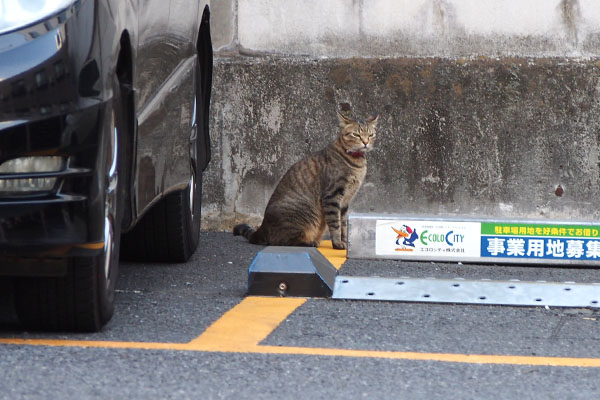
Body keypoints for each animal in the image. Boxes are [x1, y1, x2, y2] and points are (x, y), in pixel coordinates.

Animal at [232, 111, 378, 248]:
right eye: (356, 135)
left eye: (371, 135)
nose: (365, 142)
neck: (357, 163)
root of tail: (262, 228)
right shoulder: (332, 196)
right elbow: (335, 224)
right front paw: (337, 244)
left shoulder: (345, 201)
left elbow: (344, 225)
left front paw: (345, 242)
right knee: (282, 241)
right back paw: (310, 242)